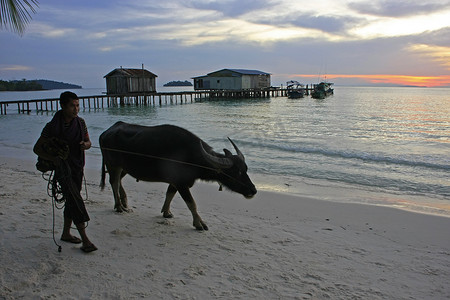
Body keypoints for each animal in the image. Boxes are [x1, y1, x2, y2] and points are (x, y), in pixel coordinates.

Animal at [99, 121, 256, 230]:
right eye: (236, 172)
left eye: (245, 169)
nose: (253, 190)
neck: (190, 156)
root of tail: (105, 133)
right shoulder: (181, 183)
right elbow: (192, 203)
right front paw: (199, 224)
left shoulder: (175, 182)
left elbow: (170, 194)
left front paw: (166, 212)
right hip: (113, 165)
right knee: (113, 182)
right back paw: (119, 207)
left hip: (123, 168)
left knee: (118, 181)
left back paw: (125, 204)